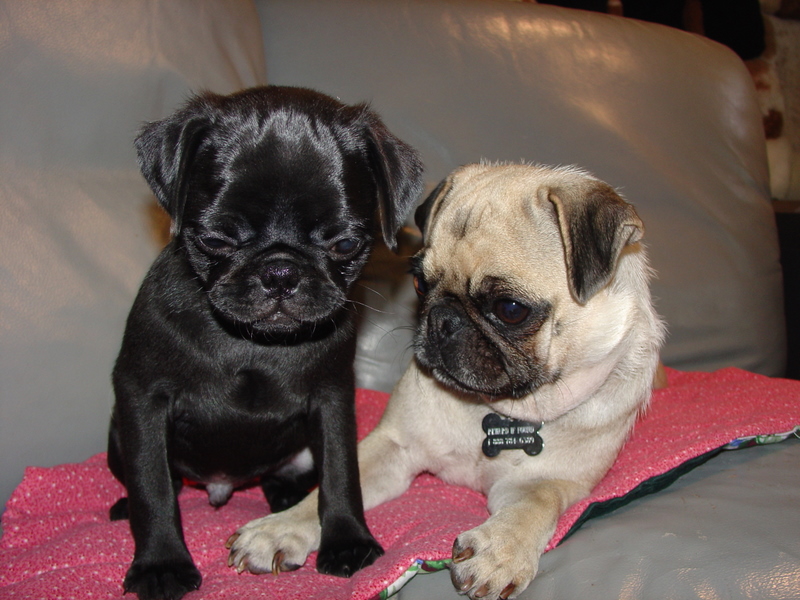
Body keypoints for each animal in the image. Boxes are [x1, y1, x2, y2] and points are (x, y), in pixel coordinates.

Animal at [107, 85, 423, 600]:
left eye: (345, 245)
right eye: (215, 239)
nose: (280, 272)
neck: (254, 344)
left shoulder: (332, 400)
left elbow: (341, 474)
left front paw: (347, 541)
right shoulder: (142, 398)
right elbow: (153, 488)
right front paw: (161, 565)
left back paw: (287, 496)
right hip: (118, 437)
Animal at [225, 163, 666, 599]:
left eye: (511, 309)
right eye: (420, 284)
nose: (442, 319)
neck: (492, 409)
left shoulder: (546, 481)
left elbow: (531, 506)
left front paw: (499, 552)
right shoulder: (392, 446)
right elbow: (331, 489)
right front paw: (280, 527)